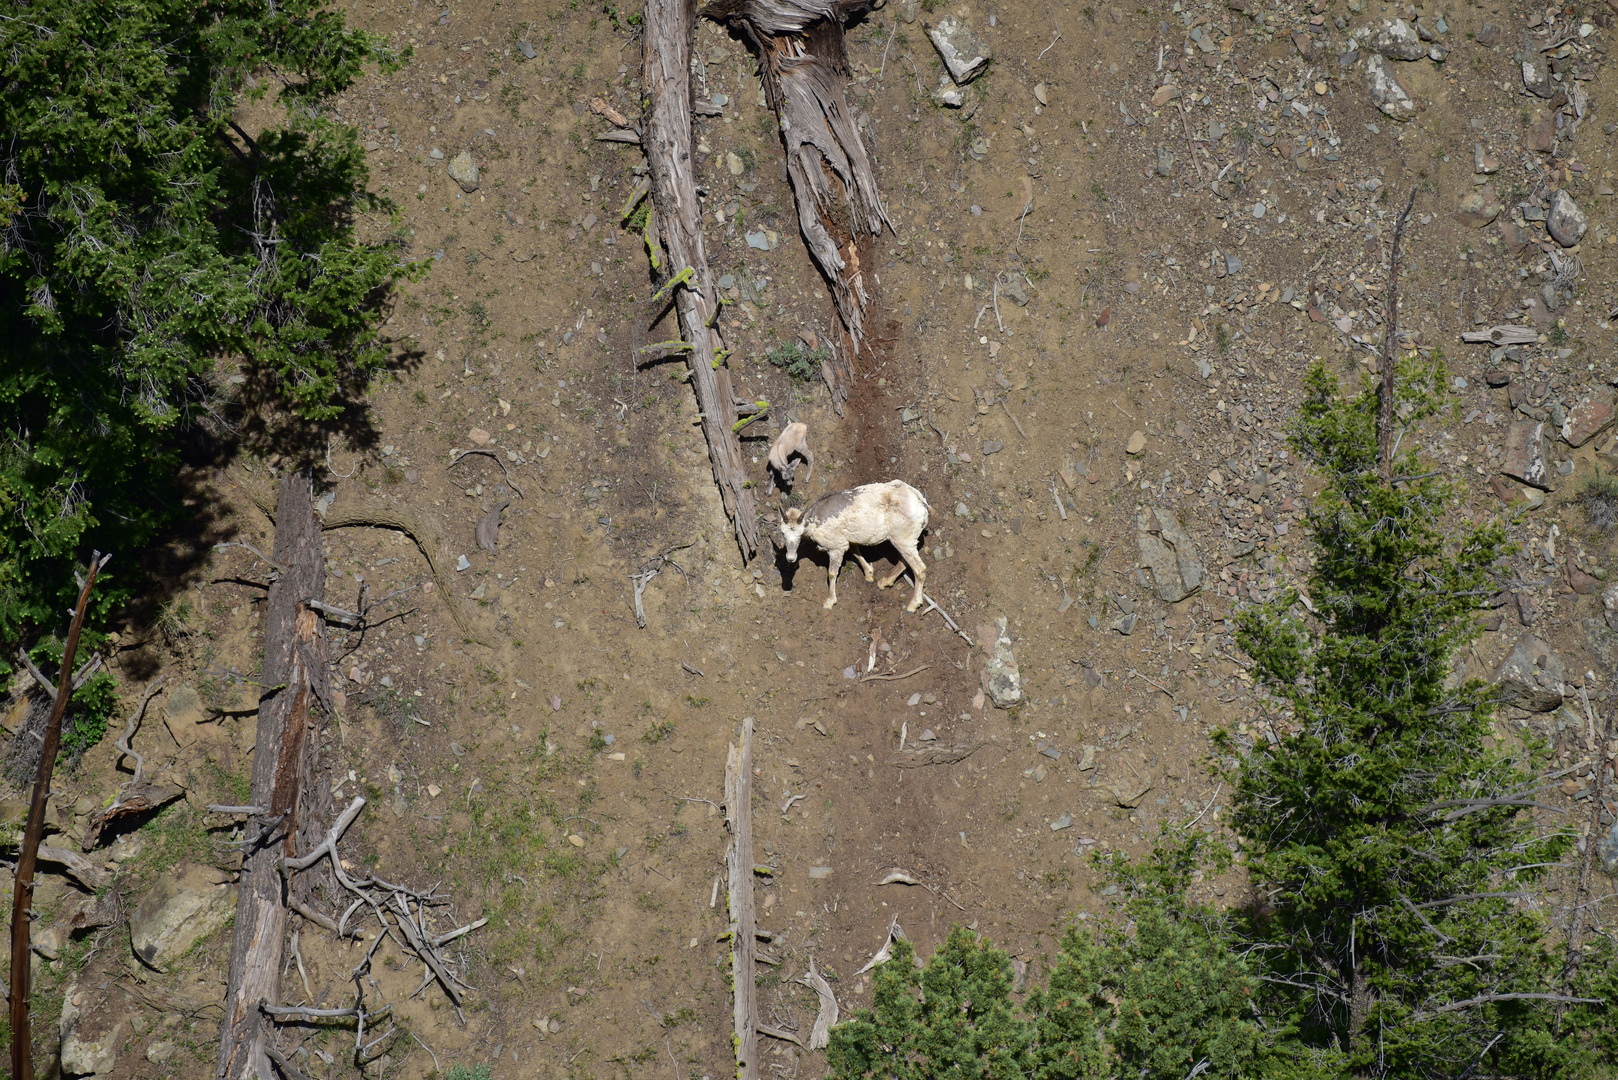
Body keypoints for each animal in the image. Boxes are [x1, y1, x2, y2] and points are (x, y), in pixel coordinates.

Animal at [779, 479, 931, 612]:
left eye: (799, 534)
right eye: (783, 533)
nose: (790, 558)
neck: (815, 522)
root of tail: (921, 503)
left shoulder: (836, 549)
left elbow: (832, 574)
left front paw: (829, 602)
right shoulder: (849, 541)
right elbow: (855, 551)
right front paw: (869, 575)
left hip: (903, 541)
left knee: (920, 569)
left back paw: (912, 606)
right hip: (902, 542)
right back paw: (883, 582)